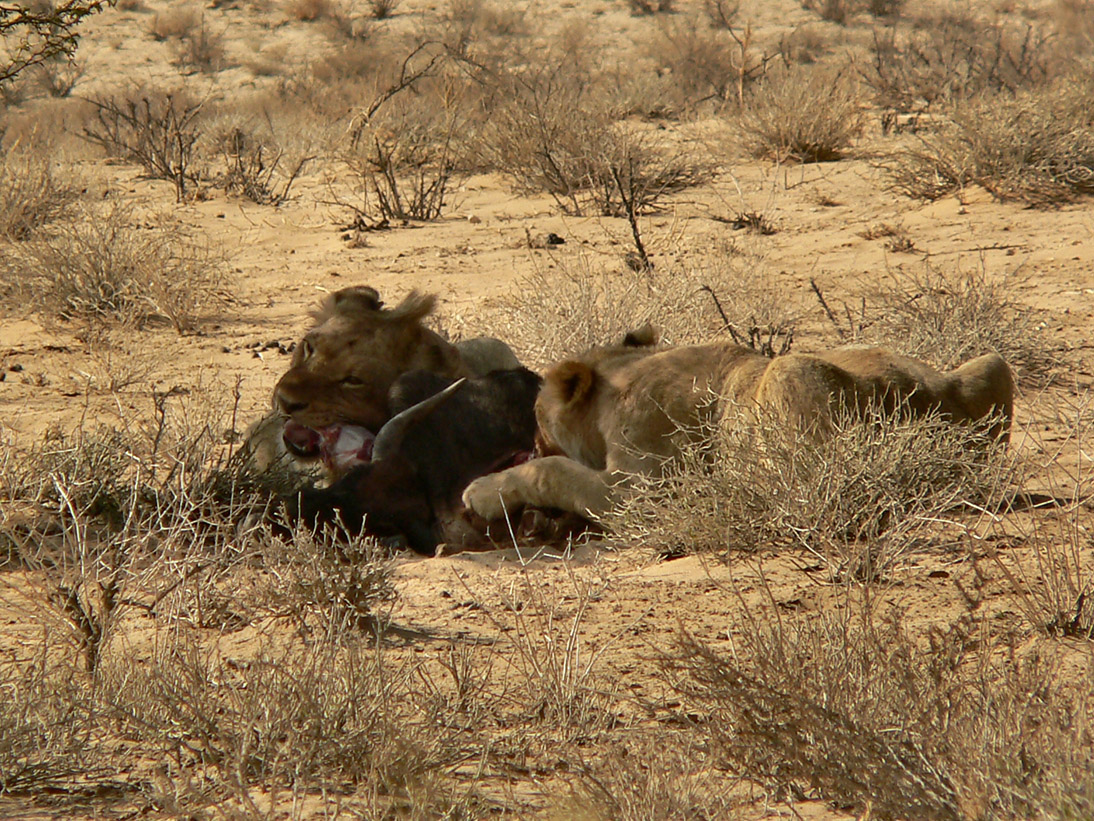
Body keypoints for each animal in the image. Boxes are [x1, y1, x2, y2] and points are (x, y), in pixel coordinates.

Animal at [461, 330, 1015, 523]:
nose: (531, 442)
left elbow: (552, 473)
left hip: (792, 371)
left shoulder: (642, 486)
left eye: (536, 420)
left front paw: (482, 492)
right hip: (992, 364)